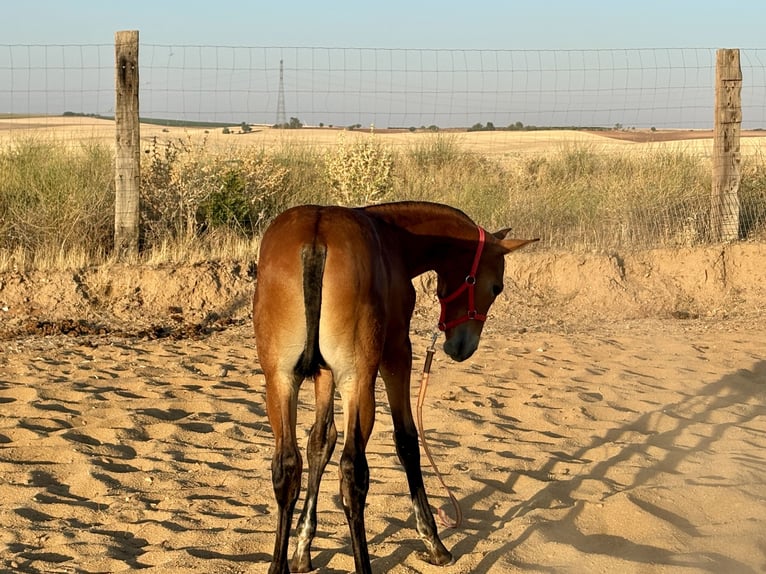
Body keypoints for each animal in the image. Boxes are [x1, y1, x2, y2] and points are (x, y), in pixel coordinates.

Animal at [252, 201, 537, 574]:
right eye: (497, 287)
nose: (462, 347)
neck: (393, 238)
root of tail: (315, 238)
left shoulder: (324, 373)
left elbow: (320, 442)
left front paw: (303, 547)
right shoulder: (397, 353)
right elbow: (406, 440)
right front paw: (433, 541)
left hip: (280, 380)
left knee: (287, 466)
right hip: (358, 381)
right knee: (353, 470)